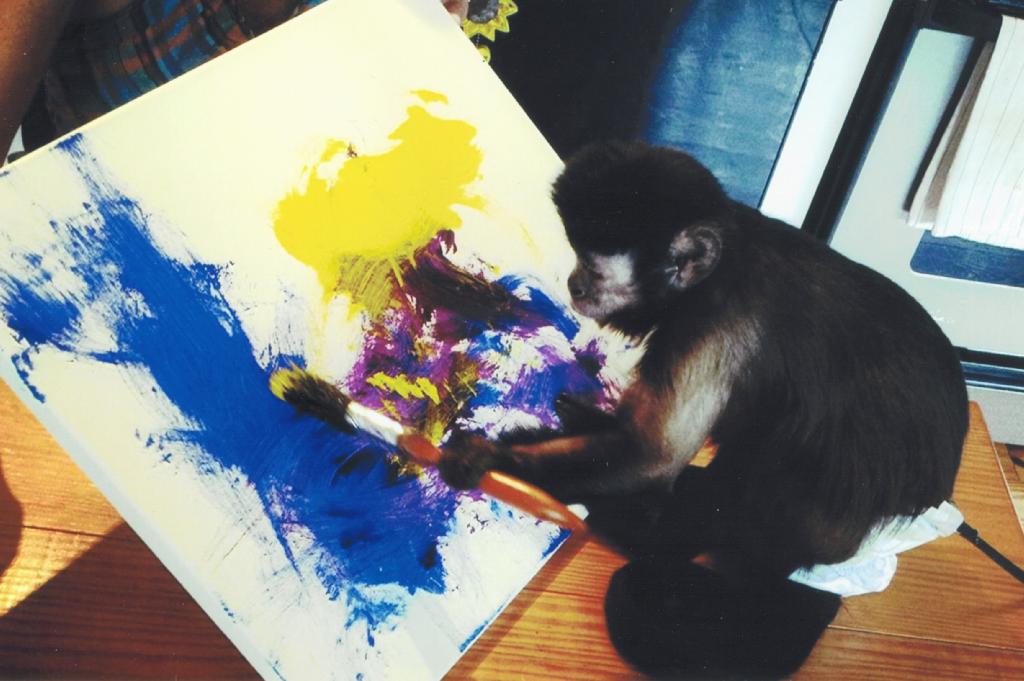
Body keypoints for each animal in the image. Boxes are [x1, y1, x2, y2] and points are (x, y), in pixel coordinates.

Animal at [438, 141, 969, 678]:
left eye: (592, 267)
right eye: (577, 258)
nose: (573, 283)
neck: (721, 269)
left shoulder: (715, 328)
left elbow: (650, 460)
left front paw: (491, 461)